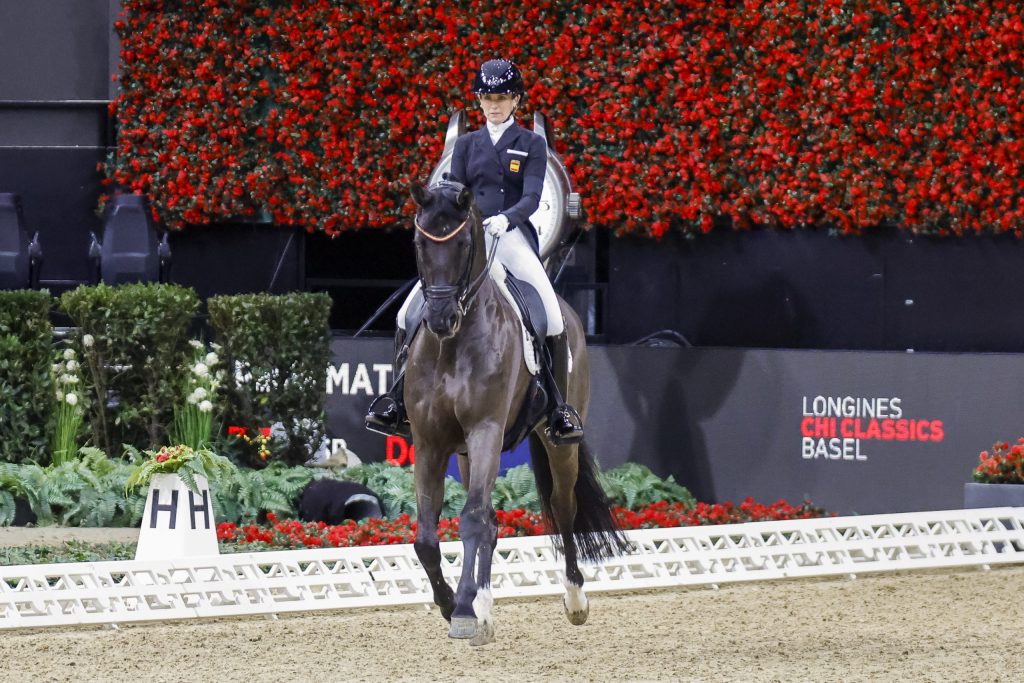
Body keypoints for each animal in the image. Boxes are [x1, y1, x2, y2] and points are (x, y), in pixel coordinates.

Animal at [406, 180, 629, 646]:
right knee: (490, 518)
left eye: (464, 243)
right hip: (466, 453)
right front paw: (454, 604)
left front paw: (464, 611)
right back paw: (484, 607)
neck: (453, 346)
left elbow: (472, 521)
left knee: (562, 507)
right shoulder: (430, 441)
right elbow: (428, 539)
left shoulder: (486, 430)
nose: (440, 318)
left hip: (557, 442)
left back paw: (574, 599)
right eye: (419, 242)